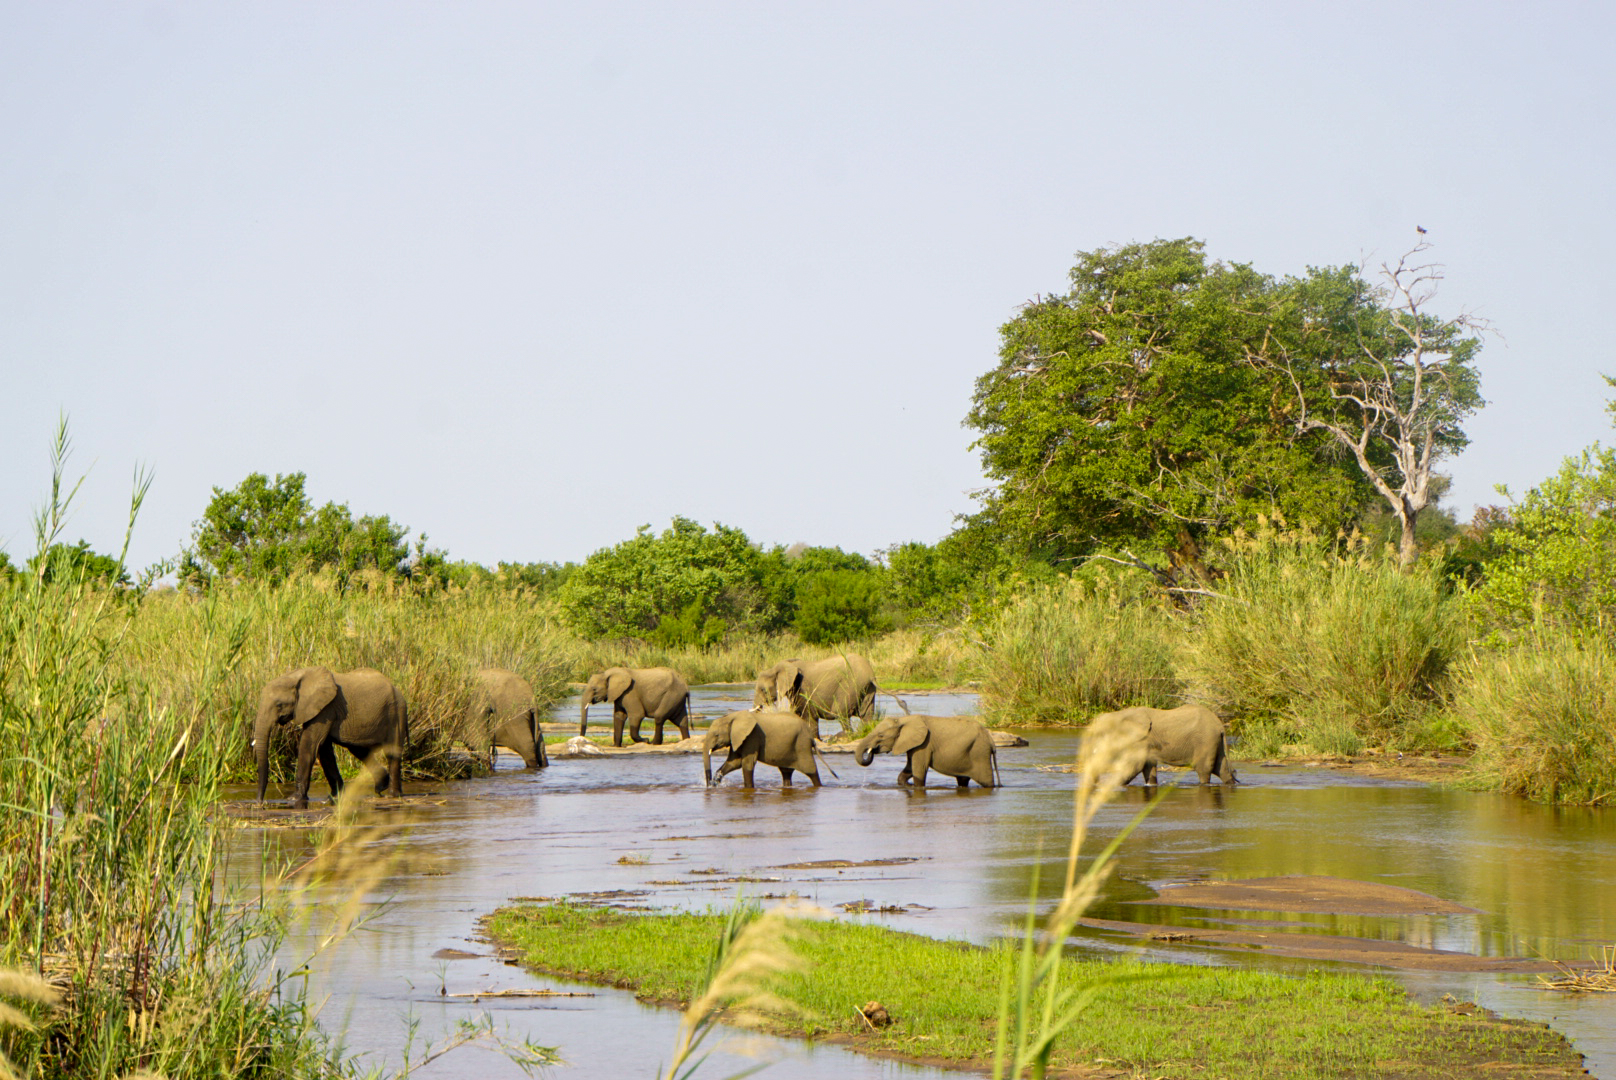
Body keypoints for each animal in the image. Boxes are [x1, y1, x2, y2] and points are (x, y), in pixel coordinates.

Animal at [255, 666, 410, 808]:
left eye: (279, 704)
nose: (260, 802)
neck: (298, 676)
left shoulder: (325, 709)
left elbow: (310, 745)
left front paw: (294, 799)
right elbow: (324, 750)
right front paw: (335, 797)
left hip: (396, 713)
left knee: (392, 753)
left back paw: (392, 795)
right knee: (359, 750)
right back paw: (381, 786)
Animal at [859, 711, 995, 788]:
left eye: (880, 735)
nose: (871, 751)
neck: (903, 720)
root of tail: (990, 739)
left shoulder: (924, 744)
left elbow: (919, 771)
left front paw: (915, 786)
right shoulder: (914, 744)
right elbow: (908, 769)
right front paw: (907, 785)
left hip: (979, 752)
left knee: (987, 782)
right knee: (963, 780)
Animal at [1085, 701, 1234, 785]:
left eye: (1100, 735)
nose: (1096, 784)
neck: (1120, 714)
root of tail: (1220, 726)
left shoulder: (1142, 740)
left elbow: (1134, 766)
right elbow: (1147, 767)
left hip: (1205, 740)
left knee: (1203, 770)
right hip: (1215, 742)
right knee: (1222, 770)